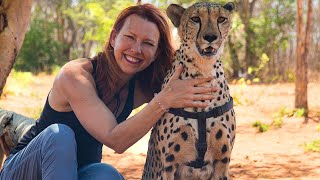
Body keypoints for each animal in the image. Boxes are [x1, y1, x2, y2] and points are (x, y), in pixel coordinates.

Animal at [142, 2, 235, 179]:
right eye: (195, 19)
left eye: (221, 19)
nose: (211, 37)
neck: (204, 70)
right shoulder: (169, 165)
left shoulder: (222, 162)